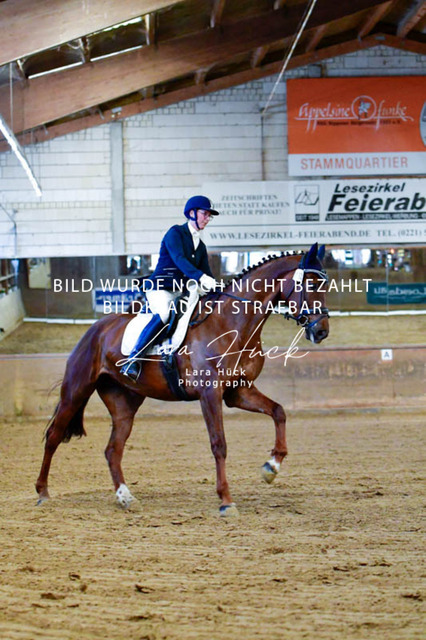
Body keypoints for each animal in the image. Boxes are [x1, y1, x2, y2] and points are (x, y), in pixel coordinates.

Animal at [36, 242, 329, 516]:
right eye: (311, 283)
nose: (322, 331)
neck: (232, 324)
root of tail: (95, 329)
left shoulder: (239, 391)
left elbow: (279, 412)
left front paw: (271, 467)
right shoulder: (210, 394)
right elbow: (219, 444)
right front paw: (226, 500)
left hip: (124, 403)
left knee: (113, 449)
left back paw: (125, 497)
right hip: (75, 392)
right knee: (53, 436)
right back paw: (42, 493)